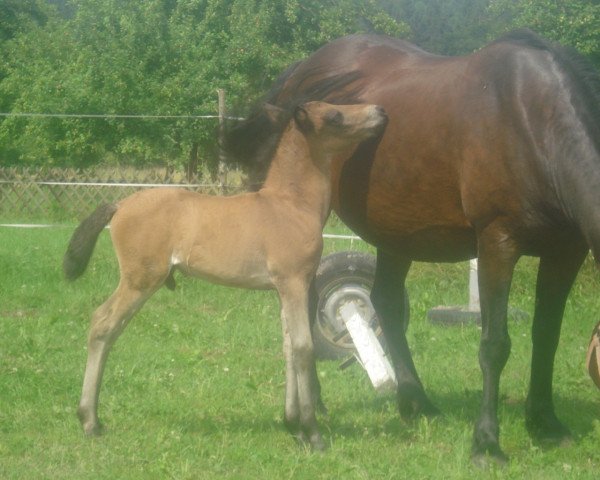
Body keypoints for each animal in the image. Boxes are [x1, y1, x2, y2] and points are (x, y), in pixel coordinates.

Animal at [63, 101, 386, 450]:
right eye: (334, 116)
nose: (379, 112)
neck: (290, 205)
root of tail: (119, 204)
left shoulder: (282, 290)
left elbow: (287, 346)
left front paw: (293, 425)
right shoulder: (295, 283)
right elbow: (303, 347)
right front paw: (312, 433)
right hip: (140, 281)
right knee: (103, 324)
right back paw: (89, 420)